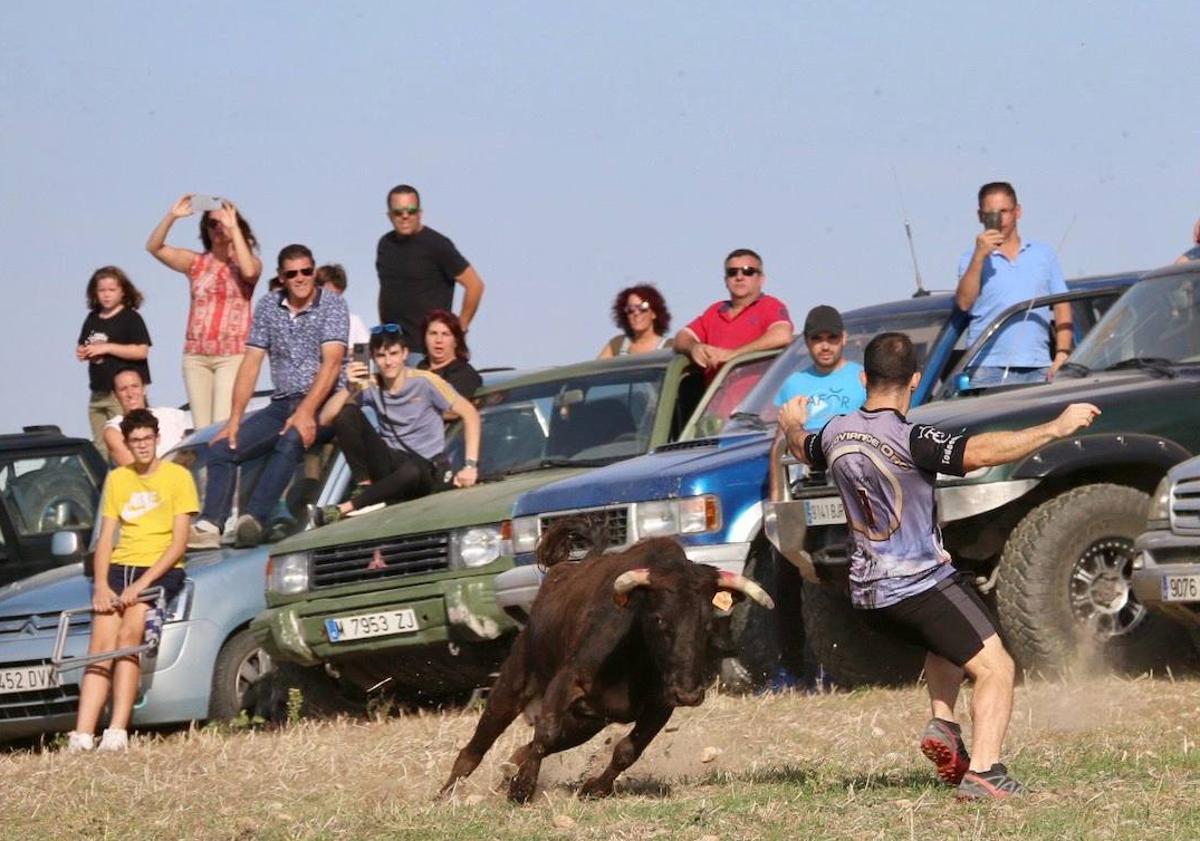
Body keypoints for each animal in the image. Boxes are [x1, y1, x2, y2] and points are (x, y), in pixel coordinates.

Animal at [446, 518, 772, 801]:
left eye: (707, 623)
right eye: (659, 619)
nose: (689, 694)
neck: (634, 657)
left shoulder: (660, 705)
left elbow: (628, 749)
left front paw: (594, 788)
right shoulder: (567, 682)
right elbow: (546, 733)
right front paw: (522, 788)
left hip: (585, 723)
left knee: (527, 747)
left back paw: (507, 772)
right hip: (515, 683)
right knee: (477, 747)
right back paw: (447, 794)